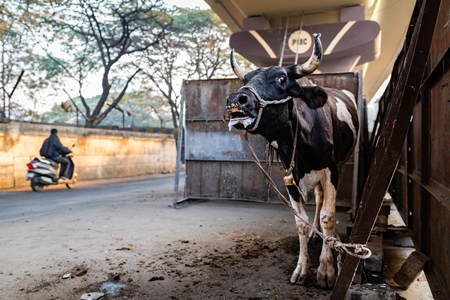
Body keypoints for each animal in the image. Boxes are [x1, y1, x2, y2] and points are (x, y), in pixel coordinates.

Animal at [225, 33, 358, 288]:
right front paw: (302, 268)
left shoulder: (330, 171)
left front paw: (326, 270)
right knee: (318, 200)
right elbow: (301, 222)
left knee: (324, 203)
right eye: (245, 79)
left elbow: (328, 216)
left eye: (281, 78)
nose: (237, 99)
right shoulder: (290, 177)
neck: (301, 146)